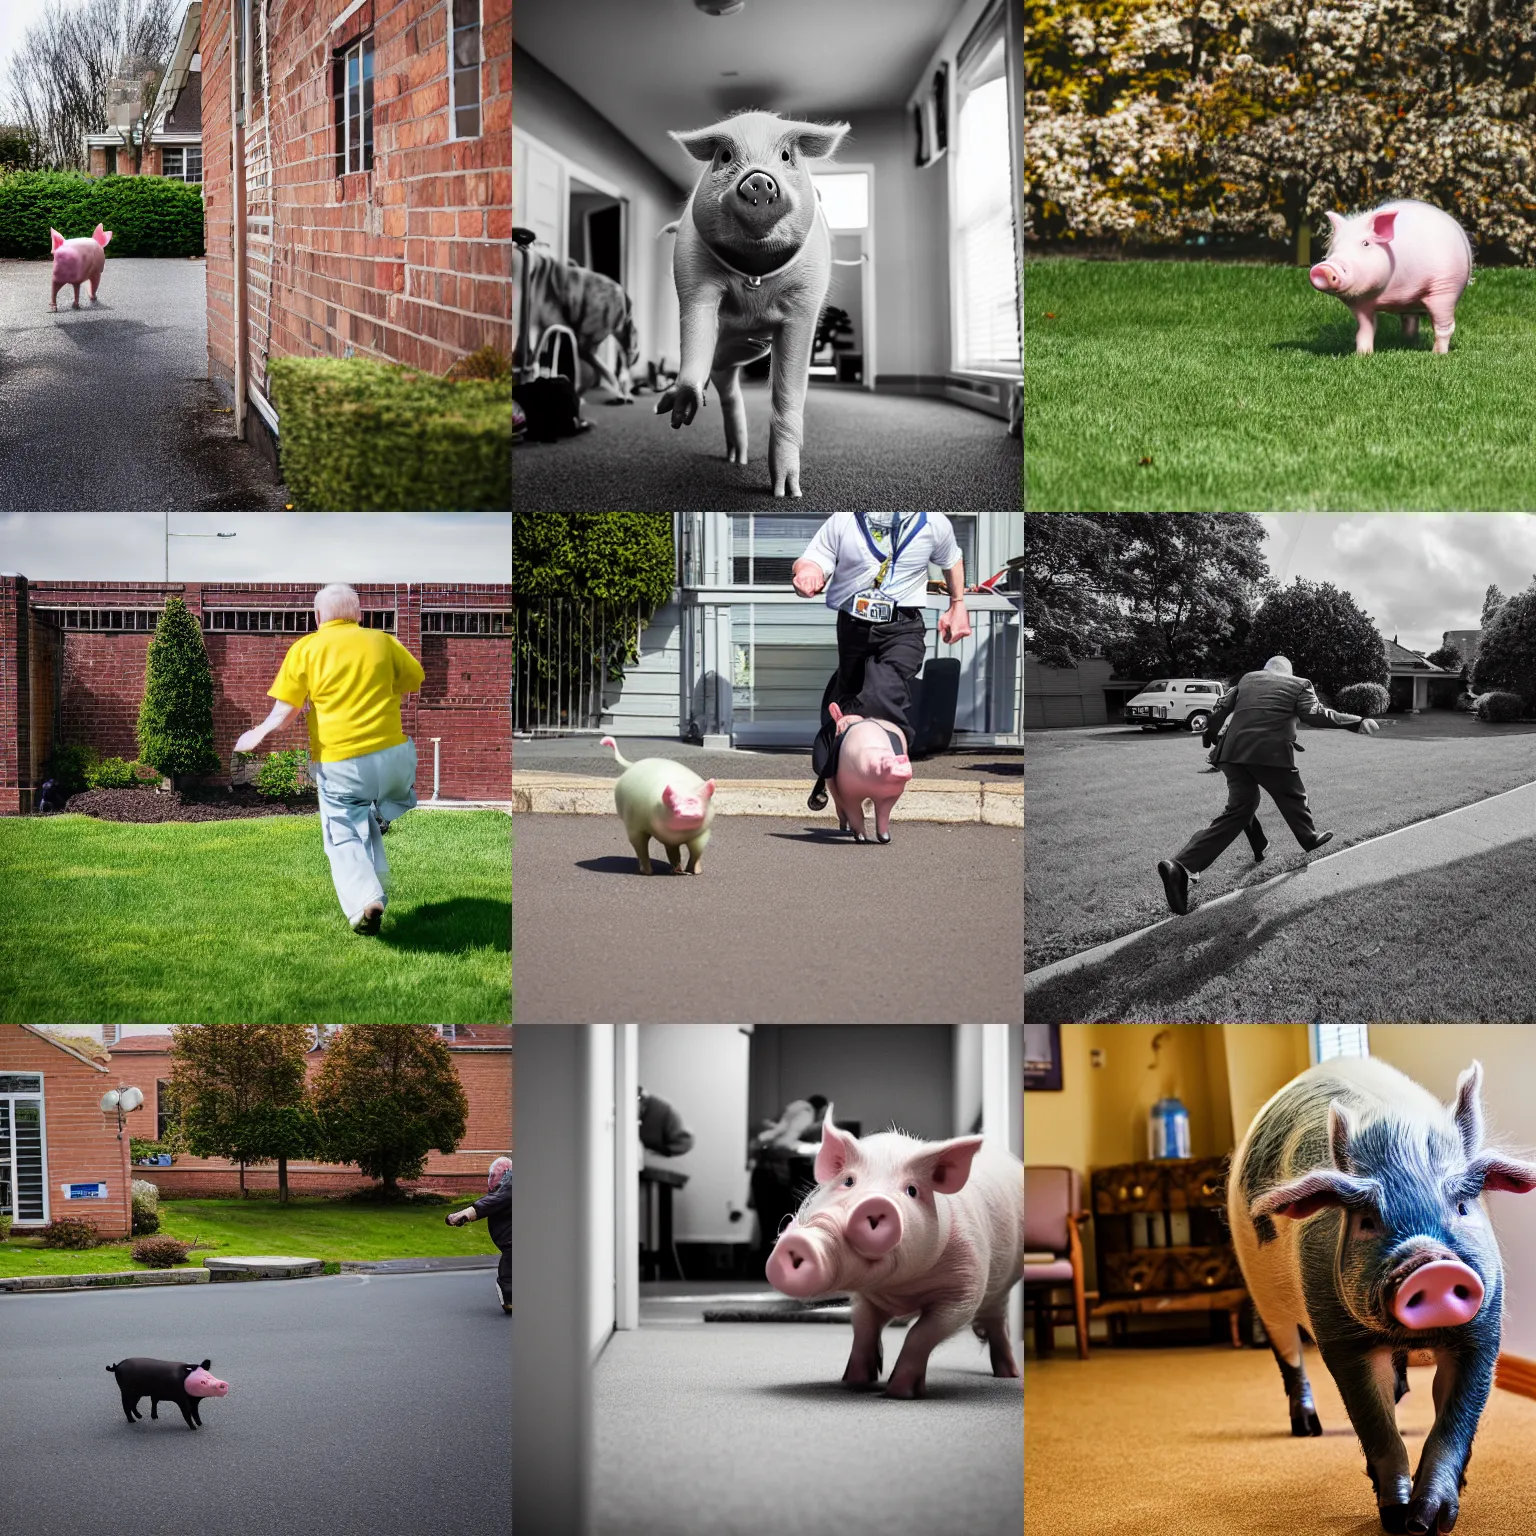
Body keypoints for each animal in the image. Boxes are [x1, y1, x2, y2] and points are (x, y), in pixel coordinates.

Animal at [660, 113, 854, 497]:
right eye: (724, 157)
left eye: (786, 156)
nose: (758, 180)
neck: (755, 275)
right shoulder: (692, 271)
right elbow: (696, 322)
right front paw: (679, 410)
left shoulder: (805, 301)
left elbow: (789, 389)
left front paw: (787, 493)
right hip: (724, 354)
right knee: (724, 383)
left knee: (728, 384)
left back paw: (740, 460)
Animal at [764, 1112, 1019, 1400]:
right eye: (848, 1181)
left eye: (912, 1190)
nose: (799, 1241)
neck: (901, 1290)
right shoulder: (863, 1297)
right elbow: (863, 1327)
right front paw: (854, 1383)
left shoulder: (965, 1287)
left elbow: (922, 1333)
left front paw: (899, 1392)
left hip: (1002, 1288)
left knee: (998, 1325)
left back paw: (1009, 1375)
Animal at [829, 703, 909, 847]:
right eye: (884, 763)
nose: (901, 759)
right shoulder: (847, 792)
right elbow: (855, 813)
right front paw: (861, 839)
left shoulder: (890, 797)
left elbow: (883, 814)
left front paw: (885, 839)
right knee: (839, 805)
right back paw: (845, 828)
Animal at [1308, 196, 1474, 351]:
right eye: (1334, 247)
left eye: (1365, 243)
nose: (1323, 268)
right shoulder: (1360, 303)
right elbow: (1365, 329)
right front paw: (1363, 354)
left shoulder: (1444, 287)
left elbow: (1443, 328)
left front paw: (1437, 354)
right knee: (1410, 320)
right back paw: (1408, 342)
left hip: (1447, 290)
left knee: (1443, 327)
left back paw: (1437, 352)